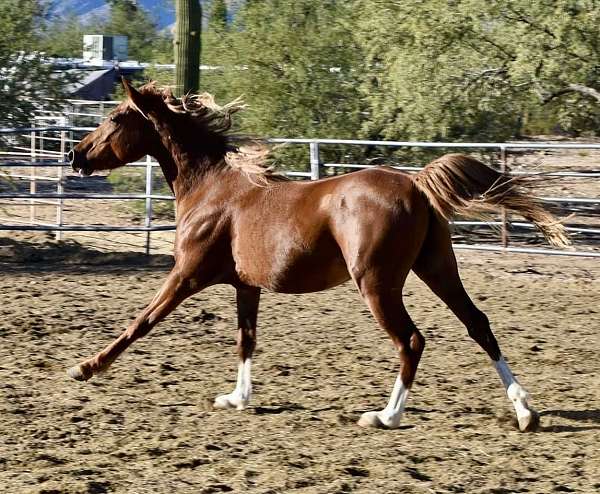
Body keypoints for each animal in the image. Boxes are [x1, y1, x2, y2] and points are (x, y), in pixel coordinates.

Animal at [68, 79, 568, 430]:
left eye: (115, 118)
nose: (76, 155)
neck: (212, 188)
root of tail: (415, 184)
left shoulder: (186, 275)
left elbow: (141, 322)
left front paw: (86, 368)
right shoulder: (246, 285)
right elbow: (246, 339)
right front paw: (237, 398)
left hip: (377, 283)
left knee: (411, 340)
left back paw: (385, 416)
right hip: (437, 267)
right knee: (478, 325)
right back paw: (525, 412)